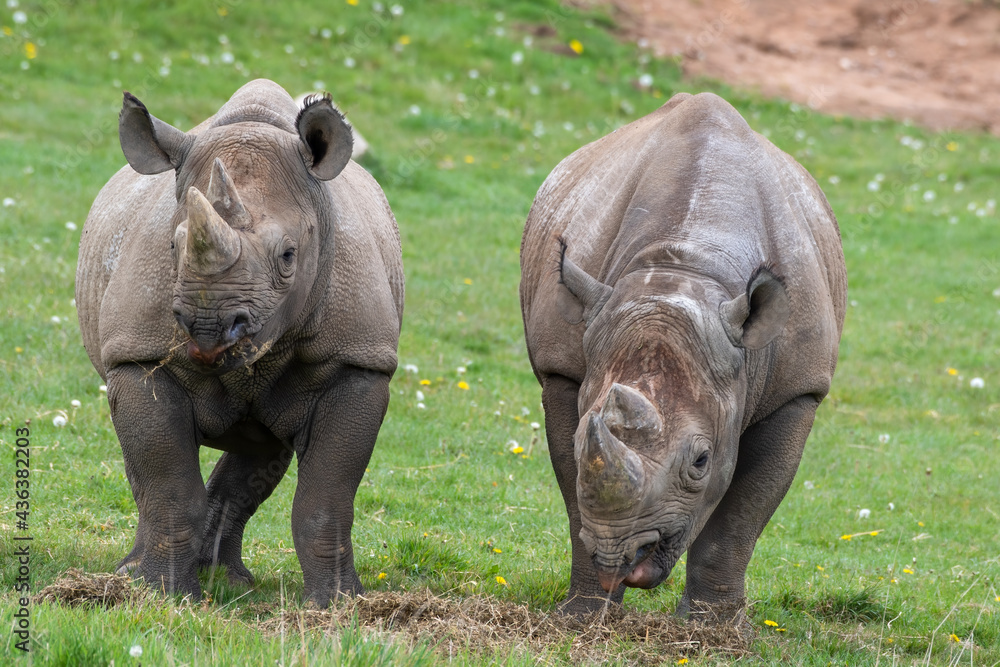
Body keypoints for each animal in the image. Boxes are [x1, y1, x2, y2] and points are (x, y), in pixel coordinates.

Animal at [75, 79, 403, 606]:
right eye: (173, 247)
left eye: (289, 255)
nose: (208, 329)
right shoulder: (139, 354)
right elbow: (168, 485)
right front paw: (163, 595)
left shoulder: (357, 363)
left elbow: (326, 497)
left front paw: (337, 605)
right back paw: (141, 573)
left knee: (260, 451)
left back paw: (227, 580)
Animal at [520, 92, 846, 617]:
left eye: (701, 461)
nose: (623, 558)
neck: (685, 270)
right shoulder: (563, 370)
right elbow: (574, 492)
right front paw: (586, 617)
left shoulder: (798, 392)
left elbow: (742, 516)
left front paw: (713, 627)